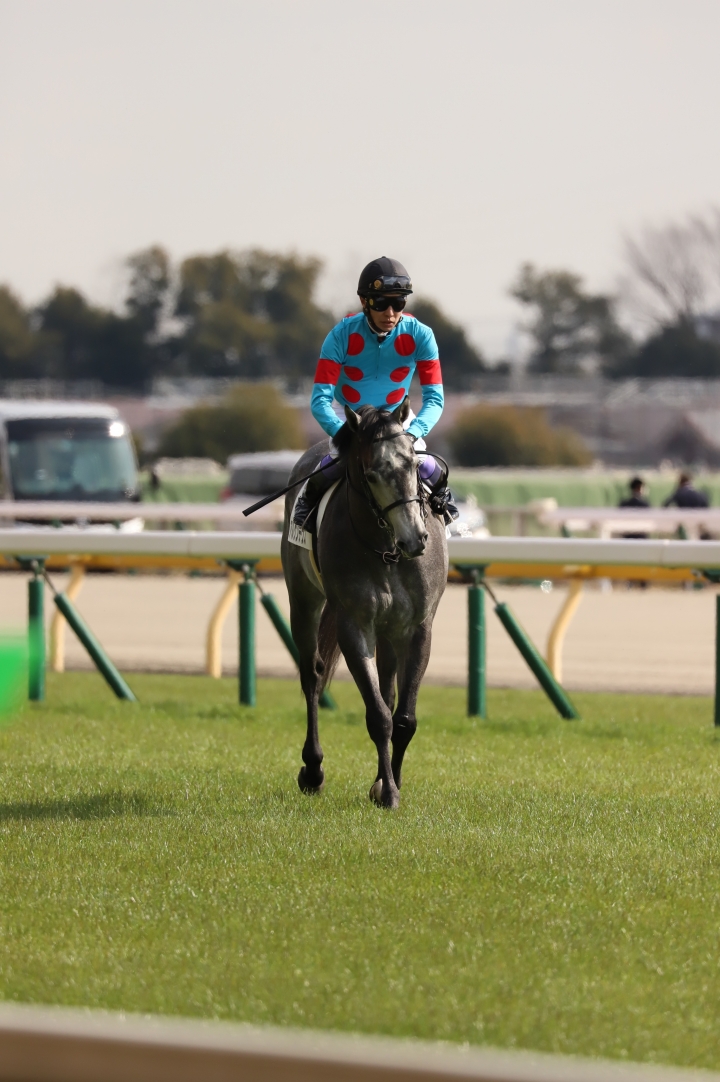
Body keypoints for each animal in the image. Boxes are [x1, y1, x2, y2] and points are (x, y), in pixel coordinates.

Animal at [281, 398, 448, 810]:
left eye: (413, 465)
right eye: (371, 475)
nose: (415, 539)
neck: (386, 551)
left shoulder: (418, 627)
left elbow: (403, 717)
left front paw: (388, 782)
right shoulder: (354, 625)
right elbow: (379, 717)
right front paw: (387, 792)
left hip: (389, 631)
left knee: (386, 688)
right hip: (303, 600)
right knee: (312, 675)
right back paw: (313, 770)